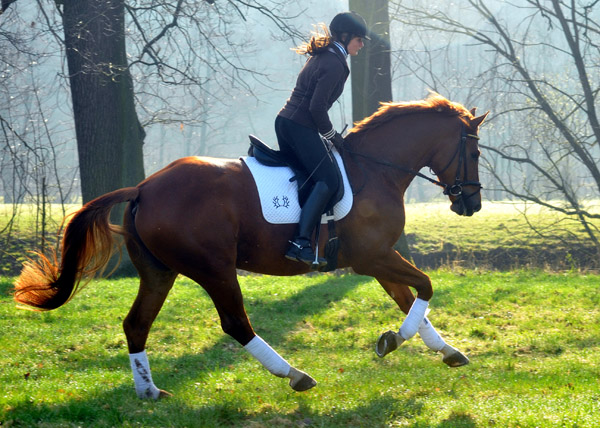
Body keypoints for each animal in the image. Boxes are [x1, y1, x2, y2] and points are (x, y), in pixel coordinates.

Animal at [12, 93, 488, 398]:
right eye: (475, 152)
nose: (472, 204)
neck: (375, 169)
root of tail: (144, 187)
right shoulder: (372, 257)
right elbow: (424, 288)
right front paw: (391, 340)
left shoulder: (376, 259)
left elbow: (411, 300)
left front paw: (446, 351)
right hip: (215, 269)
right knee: (236, 324)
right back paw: (295, 375)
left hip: (159, 272)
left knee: (136, 324)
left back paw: (148, 391)